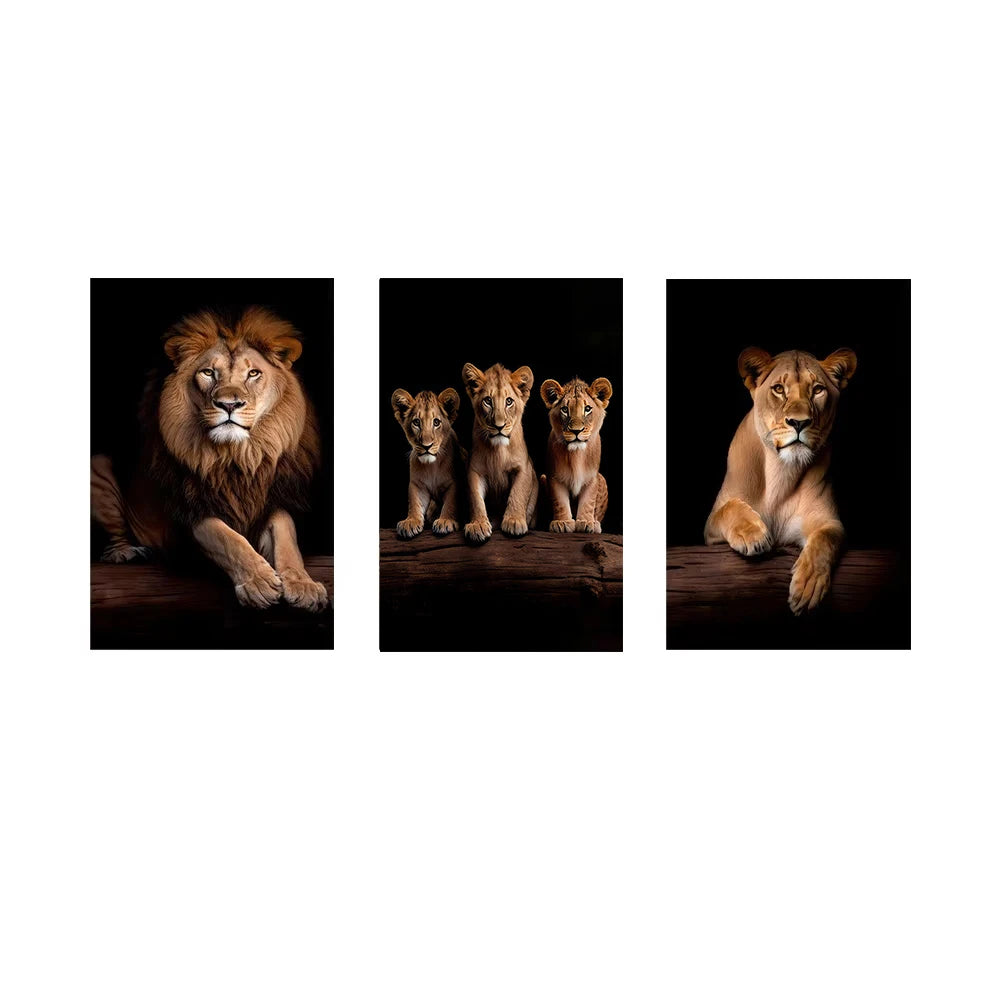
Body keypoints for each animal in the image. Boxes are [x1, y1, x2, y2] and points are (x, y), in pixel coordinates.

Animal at [91, 306, 329, 612]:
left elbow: (287, 536)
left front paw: (304, 585)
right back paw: (126, 552)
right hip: (97, 466)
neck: (235, 458)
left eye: (253, 373)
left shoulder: (270, 500)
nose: (229, 404)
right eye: (208, 372)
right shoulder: (190, 511)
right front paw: (258, 583)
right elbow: (226, 538)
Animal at [390, 387, 466, 538]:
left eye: (436, 422)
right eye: (416, 422)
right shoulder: (418, 485)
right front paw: (410, 522)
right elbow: (415, 502)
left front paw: (445, 521)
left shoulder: (454, 483)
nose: (427, 446)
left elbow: (450, 502)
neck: (432, 466)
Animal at [461, 361, 539, 543]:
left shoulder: (524, 467)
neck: (498, 450)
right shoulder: (474, 470)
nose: (499, 426)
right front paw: (478, 525)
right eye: (488, 401)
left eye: (509, 401)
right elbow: (476, 499)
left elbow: (518, 493)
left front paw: (514, 521)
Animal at [539, 376, 613, 533]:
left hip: (602, 479)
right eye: (565, 409)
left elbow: (589, 501)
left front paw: (586, 521)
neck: (576, 455)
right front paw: (562, 522)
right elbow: (559, 501)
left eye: (587, 409)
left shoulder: (592, 478)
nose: (576, 431)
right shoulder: (554, 477)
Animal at [705, 346, 858, 615]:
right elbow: (729, 508)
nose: (799, 422)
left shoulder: (828, 521)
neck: (781, 473)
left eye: (818, 389)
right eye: (778, 389)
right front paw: (753, 535)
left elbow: (825, 539)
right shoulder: (710, 531)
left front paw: (808, 584)